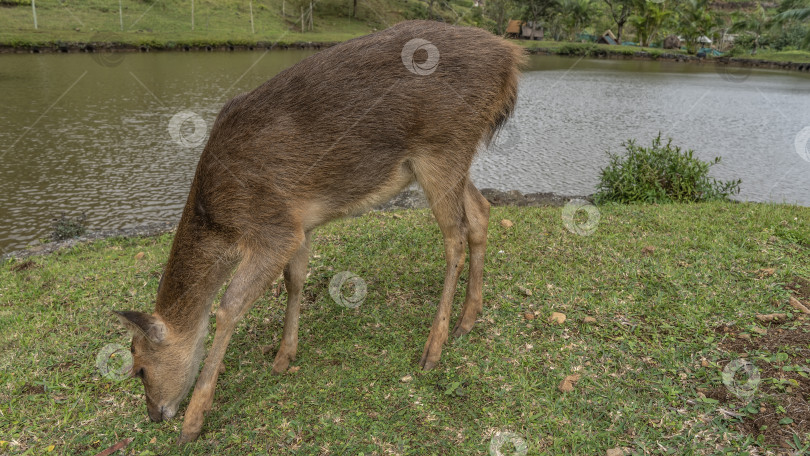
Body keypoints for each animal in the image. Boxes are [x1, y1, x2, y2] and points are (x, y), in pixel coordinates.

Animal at [114, 20, 525, 443]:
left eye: (139, 367)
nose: (154, 414)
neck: (220, 218)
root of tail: (511, 58)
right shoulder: (301, 224)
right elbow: (294, 281)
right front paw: (283, 356)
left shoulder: (274, 226)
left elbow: (230, 306)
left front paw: (194, 420)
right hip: (447, 159)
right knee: (480, 211)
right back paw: (467, 319)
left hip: (442, 146)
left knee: (454, 235)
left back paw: (433, 348)